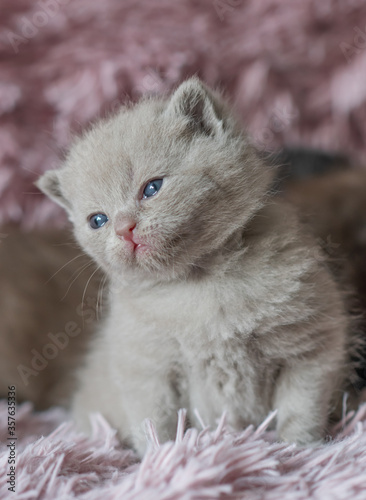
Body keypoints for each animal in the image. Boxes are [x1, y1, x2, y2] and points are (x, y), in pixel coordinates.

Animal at [37, 78, 352, 458]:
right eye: (98, 220)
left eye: (152, 188)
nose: (124, 228)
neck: (200, 281)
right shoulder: (145, 367)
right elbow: (155, 421)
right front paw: (162, 457)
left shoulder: (311, 344)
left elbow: (301, 407)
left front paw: (299, 450)